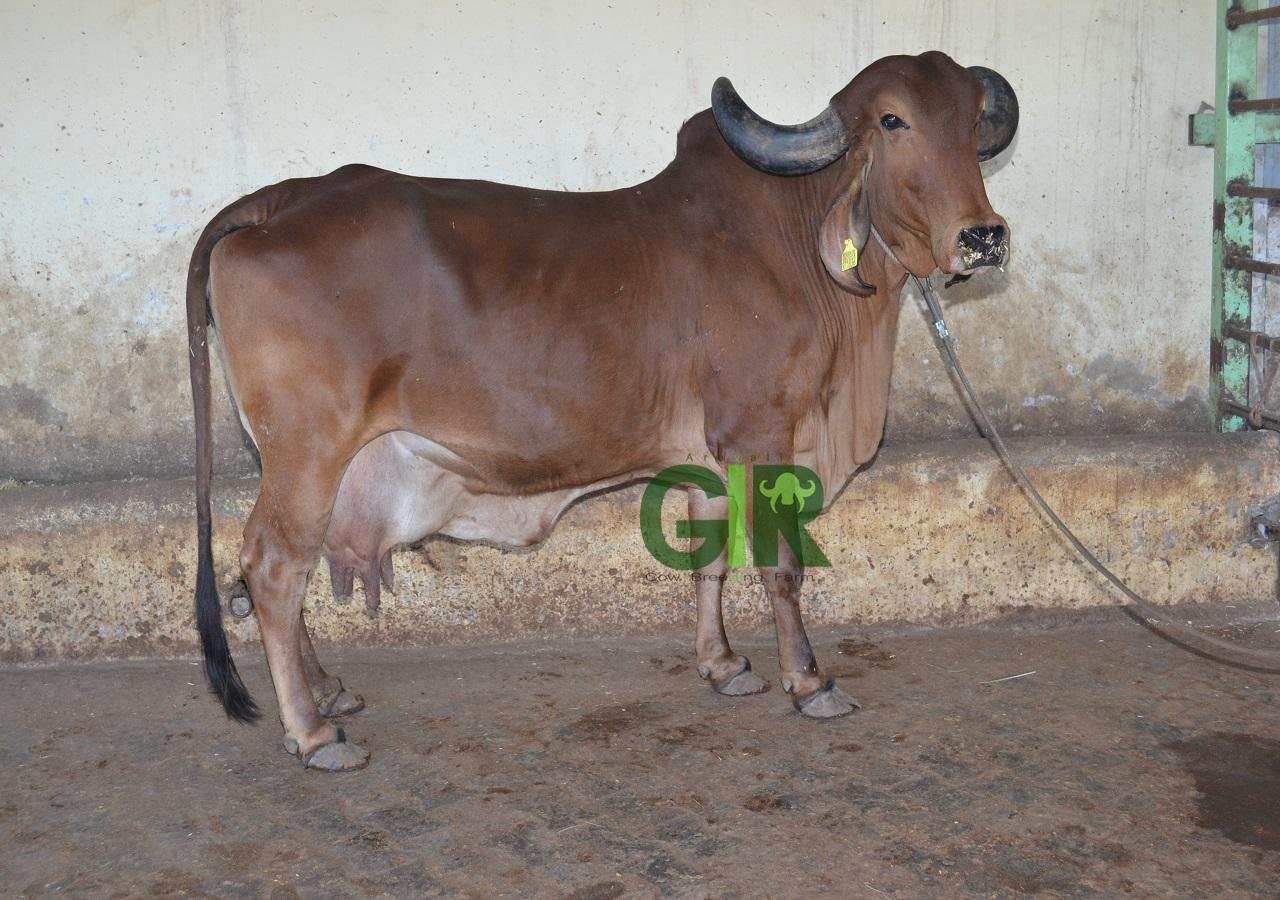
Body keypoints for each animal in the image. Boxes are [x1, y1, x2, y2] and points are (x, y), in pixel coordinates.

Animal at [186, 51, 1018, 770]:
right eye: (893, 120)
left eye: (971, 121)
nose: (984, 236)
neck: (799, 241)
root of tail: (276, 201)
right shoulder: (761, 432)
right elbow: (779, 565)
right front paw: (810, 680)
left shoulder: (710, 457)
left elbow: (709, 558)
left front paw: (722, 664)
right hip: (307, 449)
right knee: (273, 568)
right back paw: (313, 732)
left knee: (279, 573)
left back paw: (328, 691)